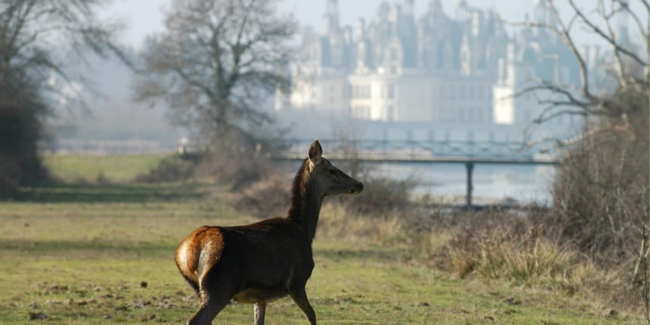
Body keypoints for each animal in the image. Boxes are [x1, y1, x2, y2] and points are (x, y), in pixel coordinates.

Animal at [175, 140, 362, 324]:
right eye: (332, 170)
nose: (359, 184)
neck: (304, 230)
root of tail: (189, 250)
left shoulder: (260, 297)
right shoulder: (297, 282)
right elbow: (312, 316)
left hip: (199, 288)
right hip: (220, 286)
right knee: (195, 320)